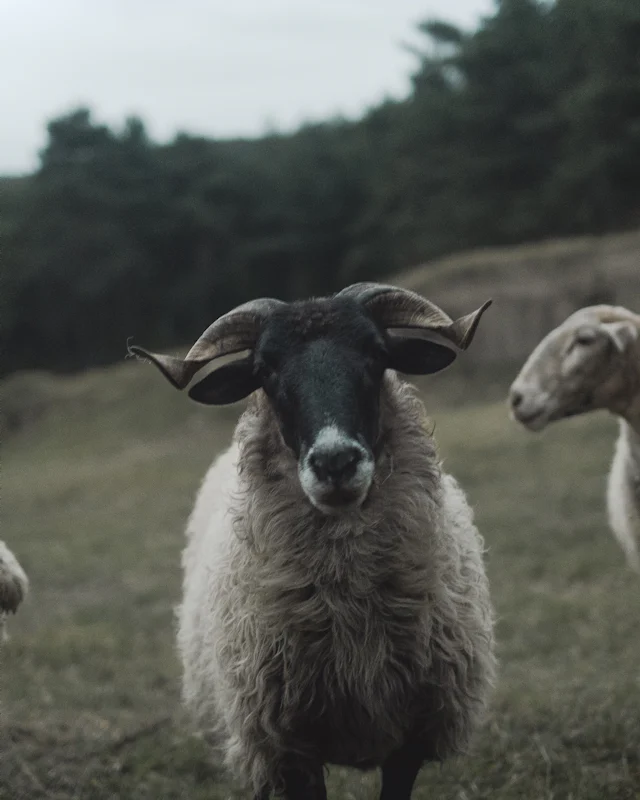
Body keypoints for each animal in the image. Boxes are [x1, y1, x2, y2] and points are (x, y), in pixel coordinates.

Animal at [131, 282, 496, 800]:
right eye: (265, 371)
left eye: (376, 353)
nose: (335, 461)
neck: (352, 621)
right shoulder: (286, 746)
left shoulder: (414, 734)